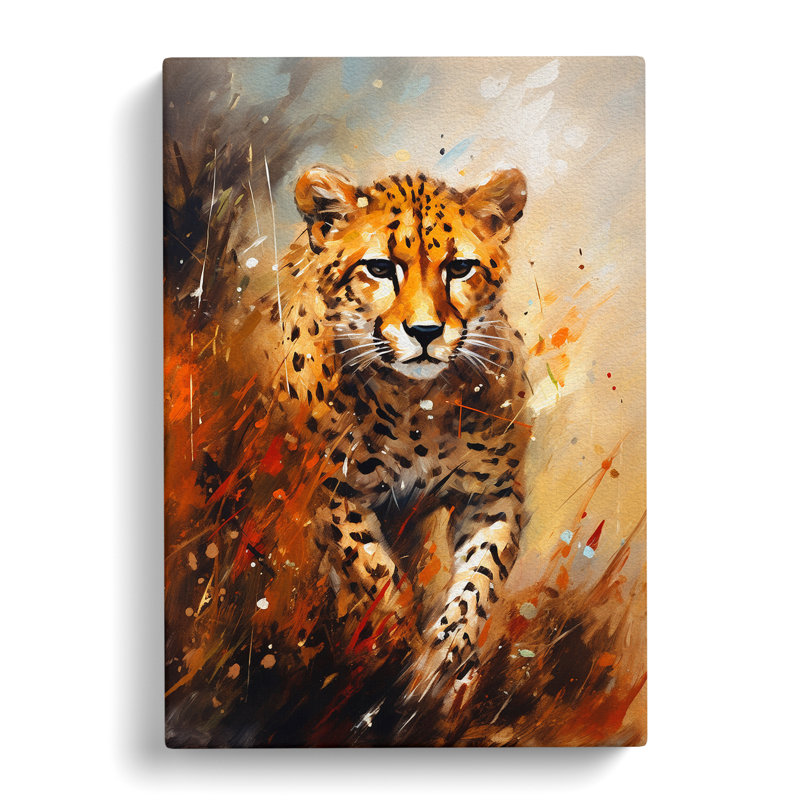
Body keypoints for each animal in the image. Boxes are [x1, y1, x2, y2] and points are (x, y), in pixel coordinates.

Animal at [241, 165, 532, 699]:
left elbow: (477, 583)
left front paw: (441, 666)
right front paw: (395, 646)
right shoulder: (332, 493)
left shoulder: (494, 494)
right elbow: (375, 573)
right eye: (379, 269)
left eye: (460, 269)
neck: (422, 404)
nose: (425, 332)